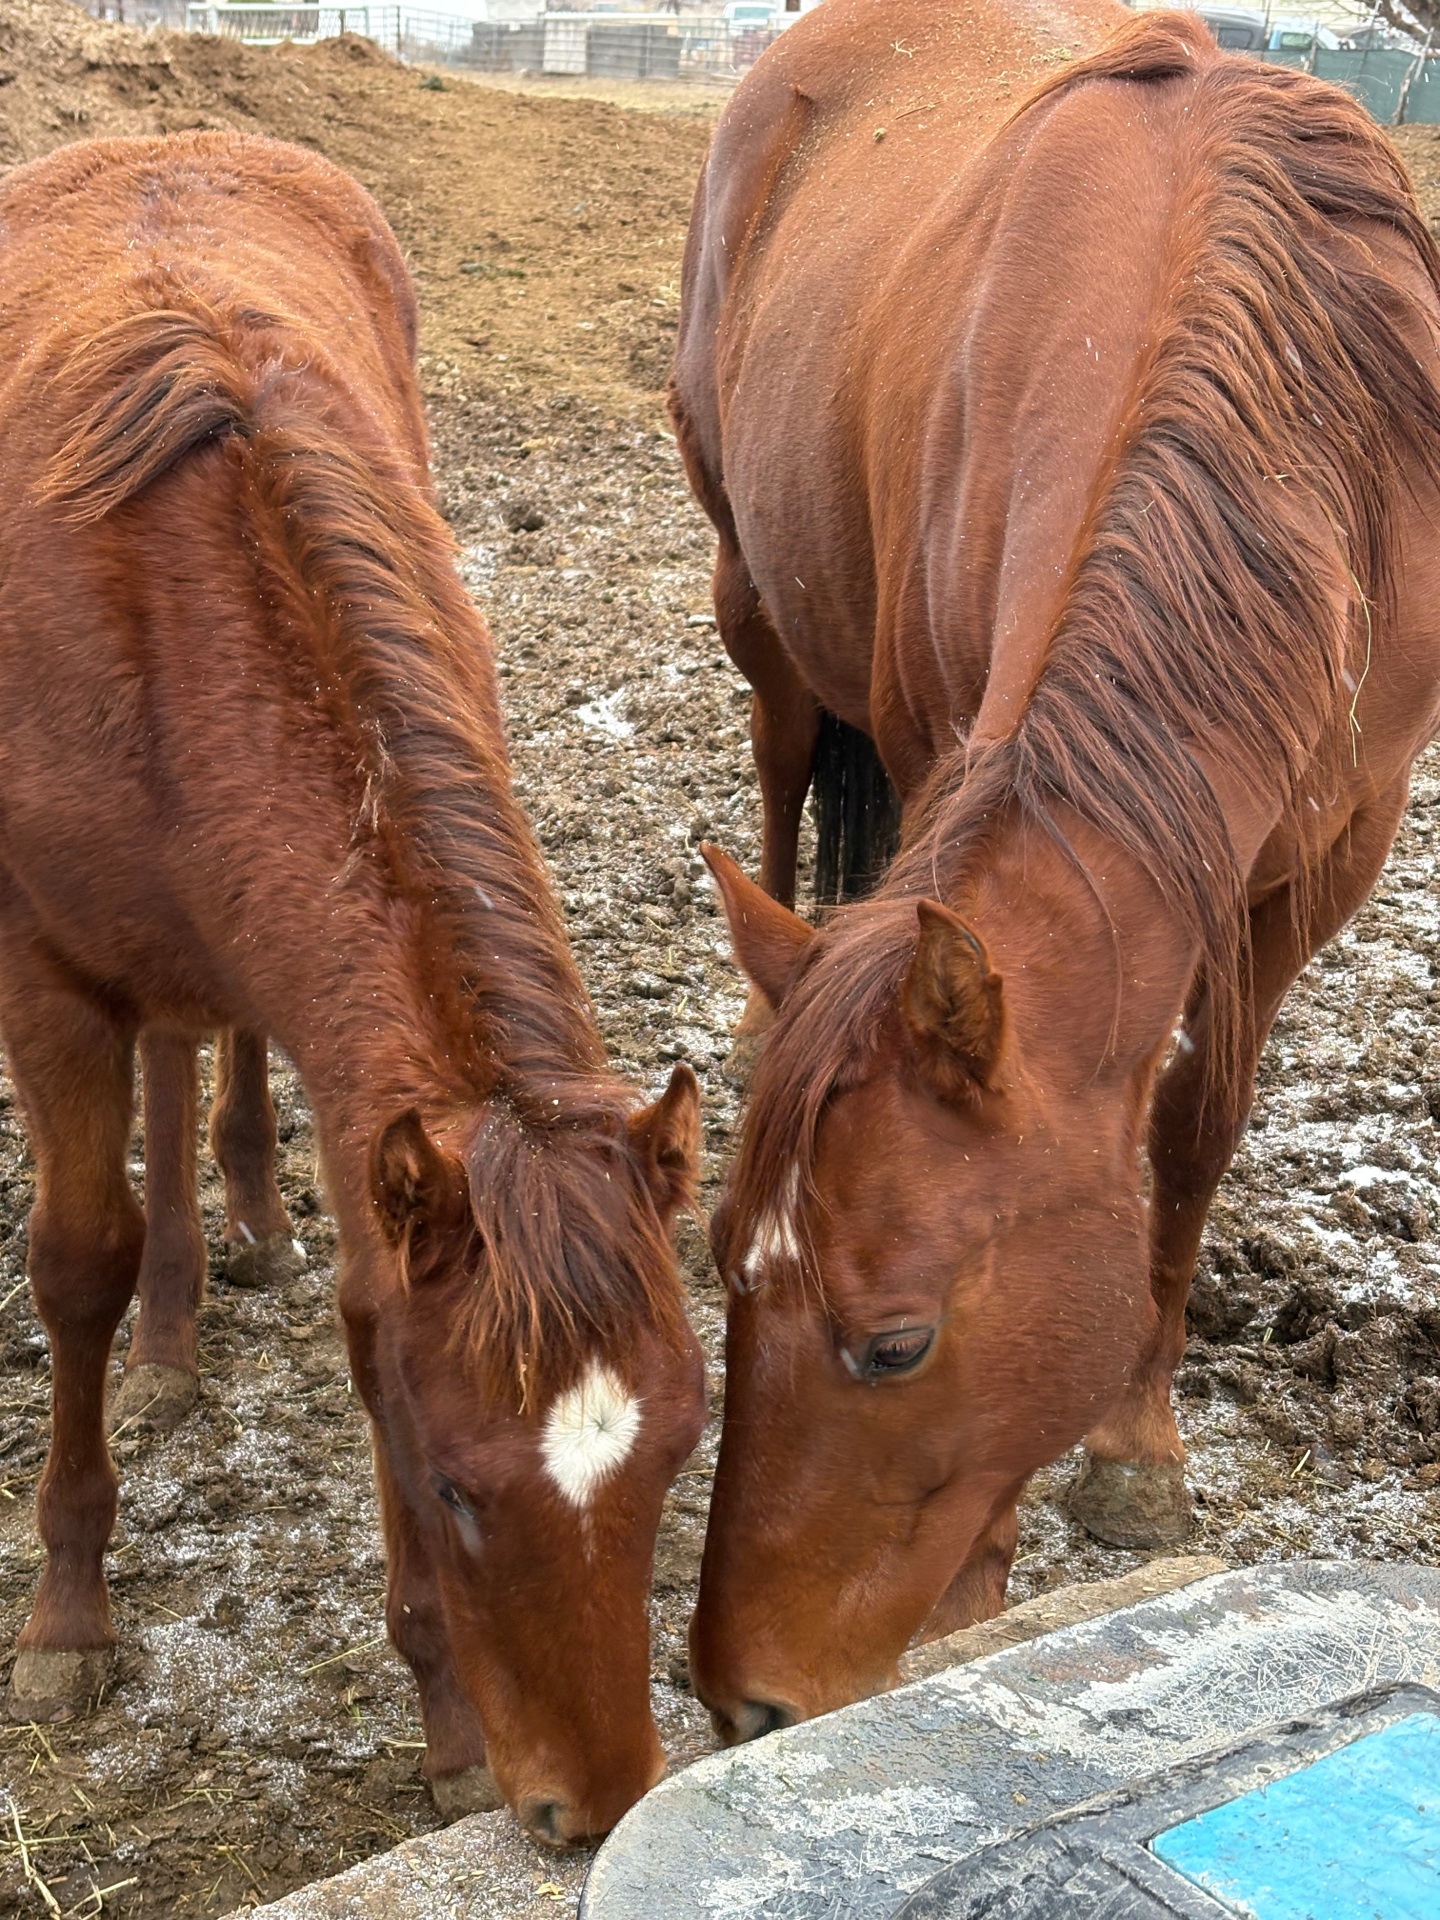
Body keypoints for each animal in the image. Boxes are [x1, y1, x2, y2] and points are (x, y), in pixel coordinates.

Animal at [0, 130, 705, 1844]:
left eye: (678, 1457)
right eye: (454, 1482)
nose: (597, 1810)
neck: (168, 595)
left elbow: (364, 1296)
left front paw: (444, 1721)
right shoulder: (45, 980)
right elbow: (76, 1260)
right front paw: (68, 1617)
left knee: (213, 1042)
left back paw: (234, 1234)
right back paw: (169, 1337)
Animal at [670, 0, 1440, 1738]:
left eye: (894, 1345)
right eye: (721, 1272)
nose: (742, 1701)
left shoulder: (1316, 862)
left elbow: (1191, 1127)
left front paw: (1137, 1453)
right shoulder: (936, 732)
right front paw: (989, 1567)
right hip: (757, 591)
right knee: (779, 769)